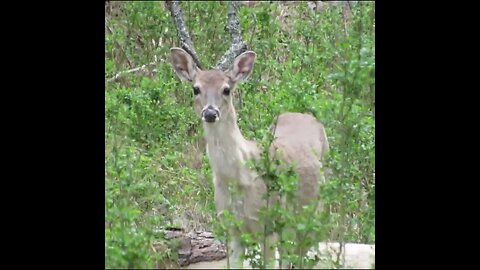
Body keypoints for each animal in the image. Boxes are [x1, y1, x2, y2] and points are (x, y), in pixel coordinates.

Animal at [166, 0, 330, 268]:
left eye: (226, 89)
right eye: (195, 88)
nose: (209, 113)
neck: (239, 178)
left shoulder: (268, 222)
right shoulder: (230, 227)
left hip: (312, 209)